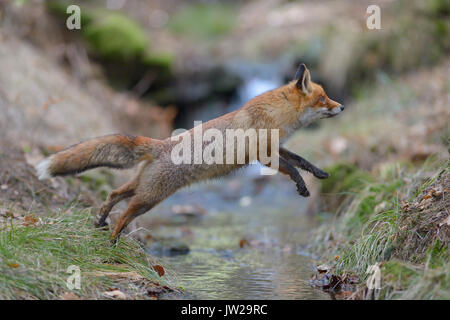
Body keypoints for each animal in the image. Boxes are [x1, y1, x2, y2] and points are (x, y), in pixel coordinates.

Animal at [36, 63, 344, 238]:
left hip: (143, 187)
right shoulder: (263, 154)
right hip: (151, 197)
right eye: (323, 98)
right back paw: (112, 242)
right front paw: (302, 186)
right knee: (124, 214)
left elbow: (301, 160)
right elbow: (292, 169)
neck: (277, 115)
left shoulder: (277, 147)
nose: (342, 106)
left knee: (113, 194)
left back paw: (101, 221)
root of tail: (160, 144)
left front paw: (319, 173)